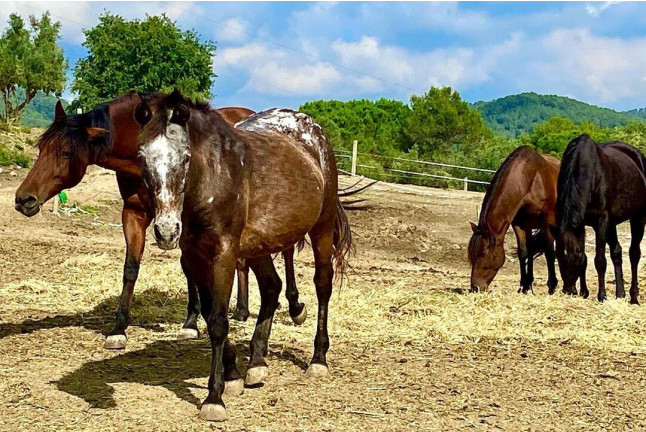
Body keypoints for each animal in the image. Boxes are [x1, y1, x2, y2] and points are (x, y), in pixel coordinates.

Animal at [134, 90, 352, 421]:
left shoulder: (223, 253)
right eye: (142, 158)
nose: (167, 230)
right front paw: (233, 375)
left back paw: (318, 359)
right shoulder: (196, 256)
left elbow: (218, 322)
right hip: (259, 245)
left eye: (185, 158)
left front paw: (214, 398)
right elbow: (210, 315)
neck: (213, 178)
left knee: (322, 285)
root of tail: (314, 131)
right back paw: (257, 362)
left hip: (322, 229)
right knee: (272, 287)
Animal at [468, 146, 560, 294]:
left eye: (483, 252)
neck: (532, 179)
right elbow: (523, 251)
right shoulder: (519, 223)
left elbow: (549, 252)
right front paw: (524, 286)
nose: (475, 287)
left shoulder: (547, 223)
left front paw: (552, 286)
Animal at [551, 134, 646, 303]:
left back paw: (634, 297)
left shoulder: (601, 220)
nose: (569, 289)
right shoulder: (583, 223)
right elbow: (588, 259)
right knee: (617, 252)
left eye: (576, 253)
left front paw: (601, 295)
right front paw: (584, 292)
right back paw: (620, 293)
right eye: (558, 254)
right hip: (612, 224)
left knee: (634, 254)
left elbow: (599, 259)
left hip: (638, 218)